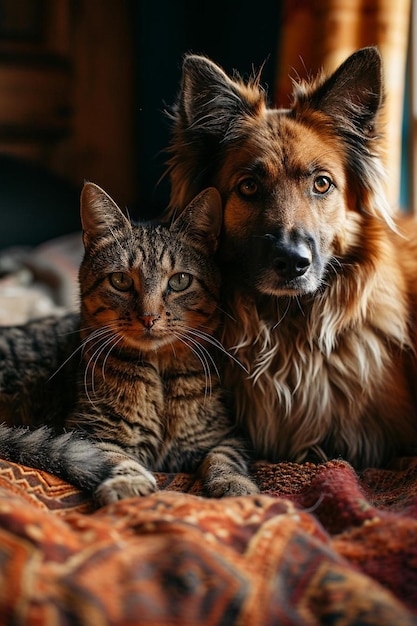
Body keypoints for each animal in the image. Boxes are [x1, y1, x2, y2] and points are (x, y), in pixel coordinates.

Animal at [0, 182, 258, 502]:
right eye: (121, 280)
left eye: (180, 281)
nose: (148, 317)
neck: (160, 376)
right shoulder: (87, 433)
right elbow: (115, 457)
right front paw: (128, 483)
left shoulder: (225, 435)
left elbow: (225, 458)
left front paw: (236, 485)